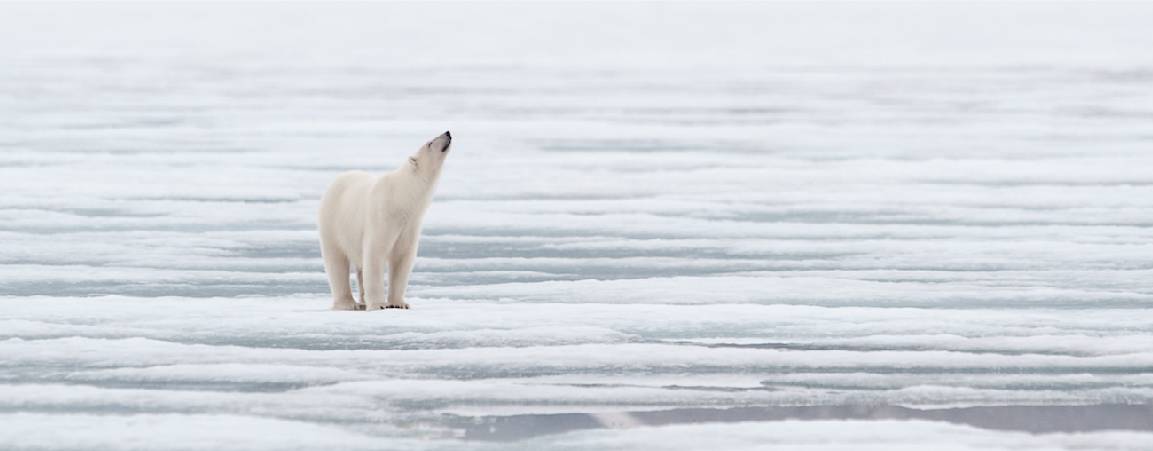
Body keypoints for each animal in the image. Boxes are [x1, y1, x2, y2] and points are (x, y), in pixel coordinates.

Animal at [322, 130, 456, 311]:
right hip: (333, 222)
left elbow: (402, 257)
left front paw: (399, 303)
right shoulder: (383, 216)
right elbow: (375, 254)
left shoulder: (410, 225)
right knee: (337, 261)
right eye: (430, 143)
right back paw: (348, 303)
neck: (401, 197)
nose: (447, 132)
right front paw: (379, 304)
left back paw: (362, 301)